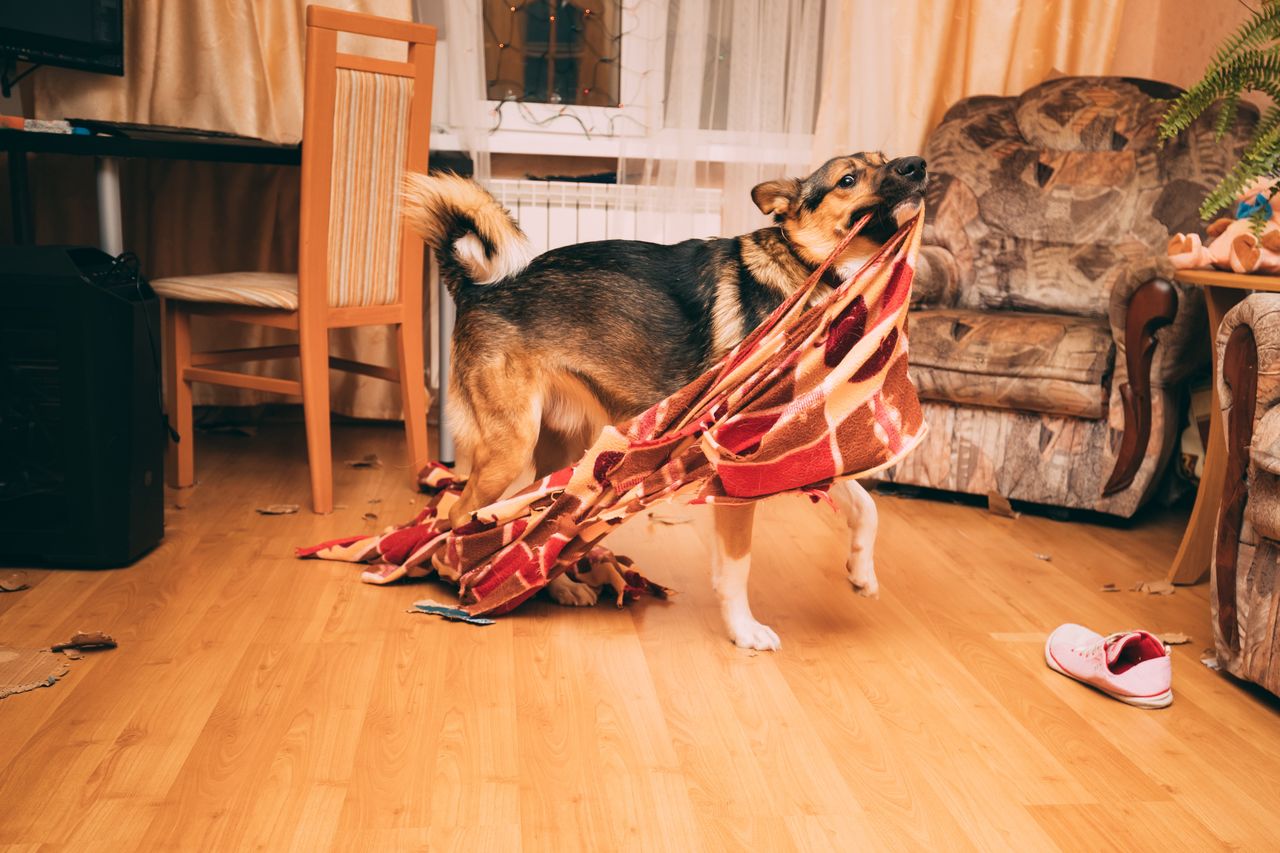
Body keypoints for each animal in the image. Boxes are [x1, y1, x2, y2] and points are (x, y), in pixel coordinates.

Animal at [407, 151, 931, 645]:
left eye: (884, 158)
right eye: (848, 179)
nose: (917, 164)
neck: (813, 271)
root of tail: (475, 288)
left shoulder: (792, 446)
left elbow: (866, 507)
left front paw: (862, 574)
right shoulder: (736, 465)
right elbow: (737, 566)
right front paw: (744, 632)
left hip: (565, 453)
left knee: (540, 521)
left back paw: (556, 586)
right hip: (510, 447)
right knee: (458, 513)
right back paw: (461, 576)